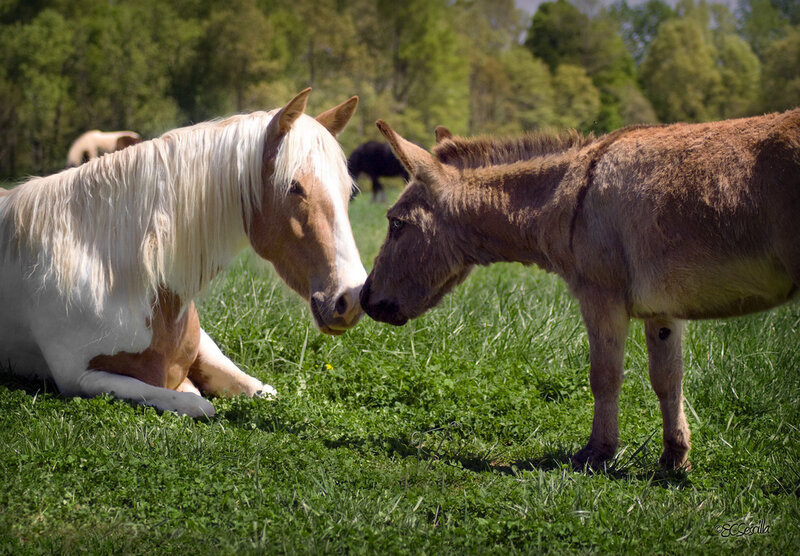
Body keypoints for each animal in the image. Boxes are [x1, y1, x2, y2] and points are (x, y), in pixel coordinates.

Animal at [0, 88, 367, 418]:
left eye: (348, 191)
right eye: (294, 187)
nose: (350, 298)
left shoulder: (204, 345)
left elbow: (261, 389)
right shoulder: (80, 378)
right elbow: (197, 403)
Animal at [360, 109, 800, 470]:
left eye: (396, 224)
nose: (364, 300)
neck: (570, 193)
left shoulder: (600, 297)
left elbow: (604, 375)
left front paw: (597, 453)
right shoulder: (661, 309)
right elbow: (668, 379)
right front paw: (674, 459)